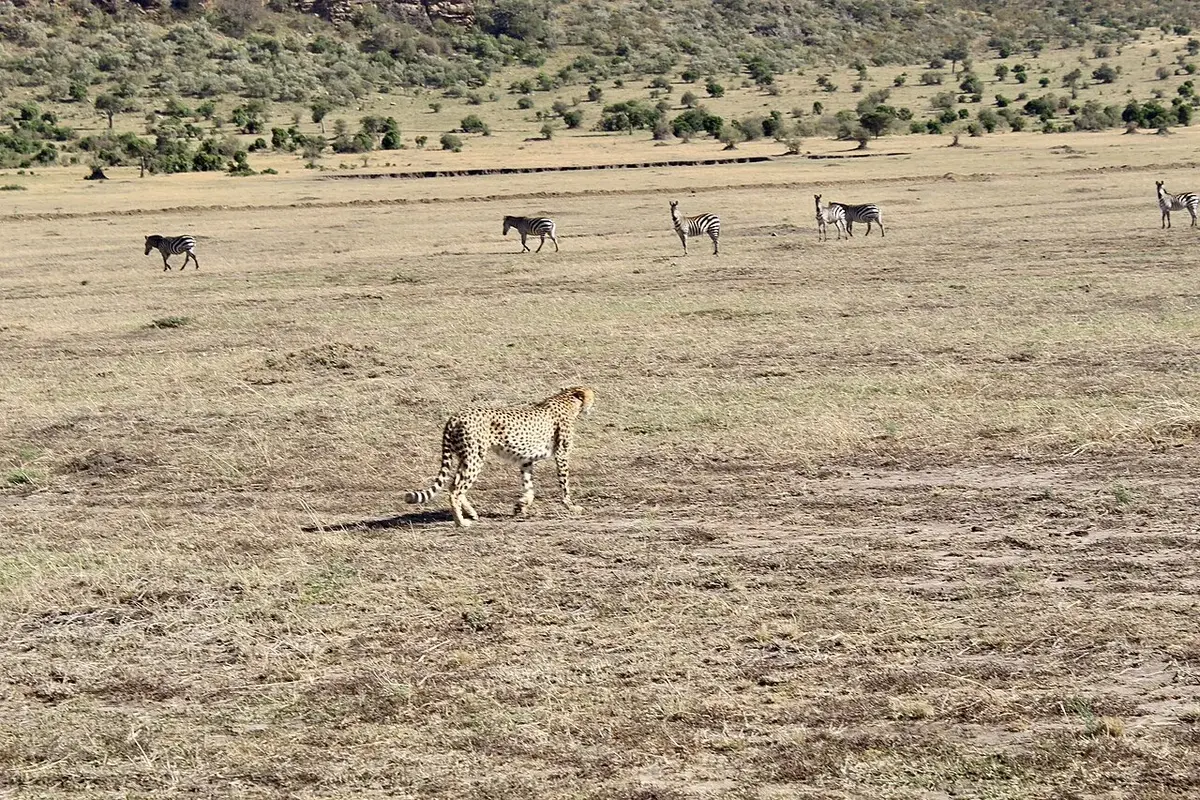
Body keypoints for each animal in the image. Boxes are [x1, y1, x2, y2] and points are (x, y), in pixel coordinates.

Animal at [403, 386, 595, 527]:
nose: (595, 402)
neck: (567, 400)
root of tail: (456, 416)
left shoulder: (526, 460)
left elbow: (529, 487)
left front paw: (521, 506)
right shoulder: (561, 454)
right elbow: (564, 484)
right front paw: (571, 506)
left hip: (465, 457)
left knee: (454, 484)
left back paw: (471, 513)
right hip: (475, 457)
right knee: (455, 489)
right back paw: (461, 522)